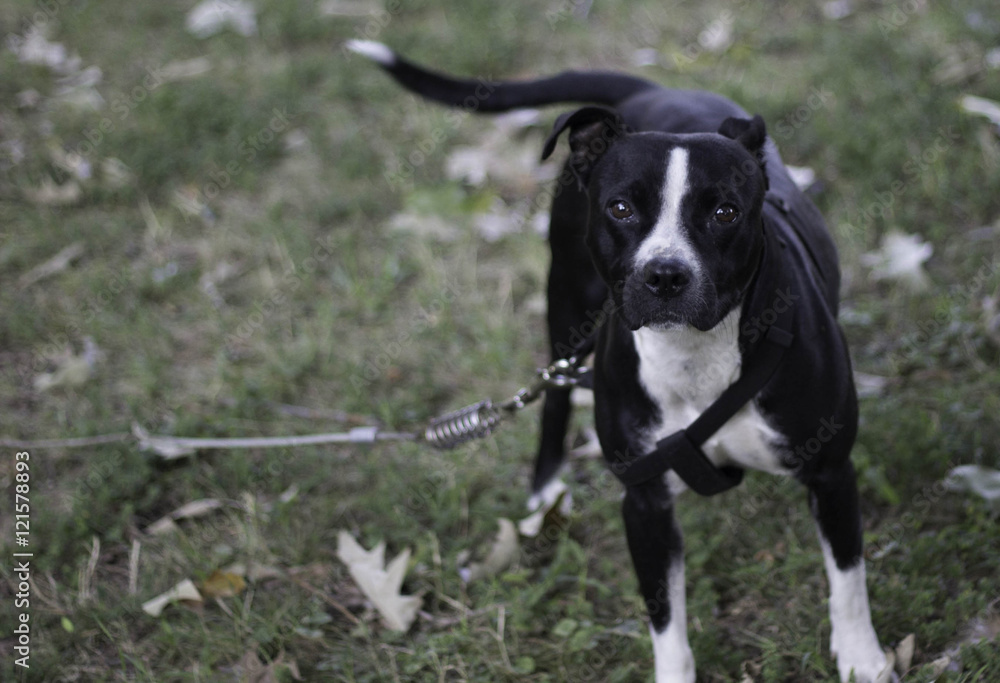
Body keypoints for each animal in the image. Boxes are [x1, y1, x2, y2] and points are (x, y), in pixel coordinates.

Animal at [346, 40, 892, 680]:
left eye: (726, 213)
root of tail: (650, 90)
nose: (665, 275)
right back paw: (546, 493)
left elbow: (847, 578)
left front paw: (862, 658)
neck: (694, 356)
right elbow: (665, 616)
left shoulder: (830, 473)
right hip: (566, 306)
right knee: (555, 394)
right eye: (623, 208)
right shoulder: (645, 501)